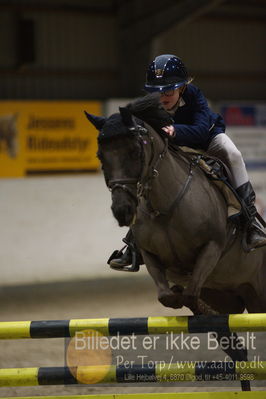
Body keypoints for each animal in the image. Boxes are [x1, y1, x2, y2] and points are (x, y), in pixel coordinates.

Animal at [84, 95, 266, 392]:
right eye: (101, 156)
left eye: (135, 152)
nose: (122, 211)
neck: (166, 205)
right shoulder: (150, 255)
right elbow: (168, 296)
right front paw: (181, 297)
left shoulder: (212, 247)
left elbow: (190, 291)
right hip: (229, 299)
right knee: (236, 349)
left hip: (259, 295)